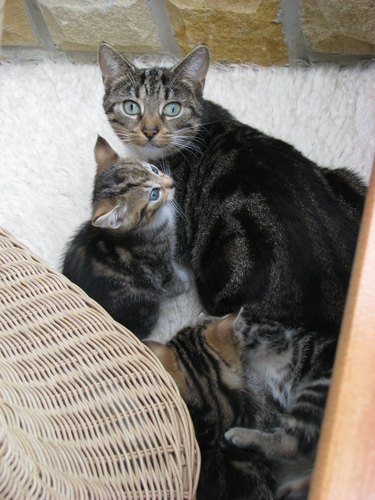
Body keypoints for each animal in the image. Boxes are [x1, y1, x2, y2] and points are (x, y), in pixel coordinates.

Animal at [63, 137, 191, 340]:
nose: (172, 183)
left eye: (154, 169)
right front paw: (185, 283)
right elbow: (172, 281)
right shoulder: (158, 266)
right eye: (154, 194)